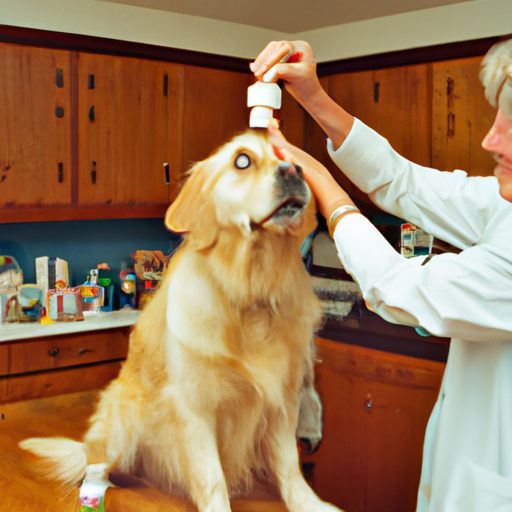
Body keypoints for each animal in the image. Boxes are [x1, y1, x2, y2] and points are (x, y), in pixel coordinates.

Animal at [20, 131, 342, 512]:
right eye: (242, 160)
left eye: (288, 156)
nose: (294, 171)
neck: (250, 294)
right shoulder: (195, 408)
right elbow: (213, 479)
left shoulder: (281, 398)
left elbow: (289, 467)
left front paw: (310, 503)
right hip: (123, 418)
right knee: (96, 464)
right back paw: (94, 492)